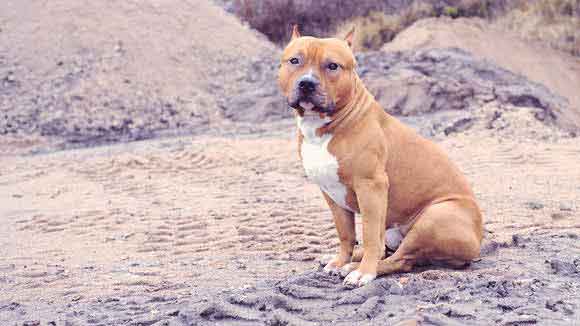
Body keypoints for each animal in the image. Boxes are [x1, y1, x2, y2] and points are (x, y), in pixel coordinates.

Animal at [278, 26, 482, 288]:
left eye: (332, 66)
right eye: (295, 60)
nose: (306, 83)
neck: (325, 127)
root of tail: (477, 240)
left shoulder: (371, 187)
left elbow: (369, 234)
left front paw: (363, 272)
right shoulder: (331, 193)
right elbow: (346, 234)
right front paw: (340, 260)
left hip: (434, 218)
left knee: (400, 259)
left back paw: (356, 267)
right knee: (387, 251)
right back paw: (348, 260)